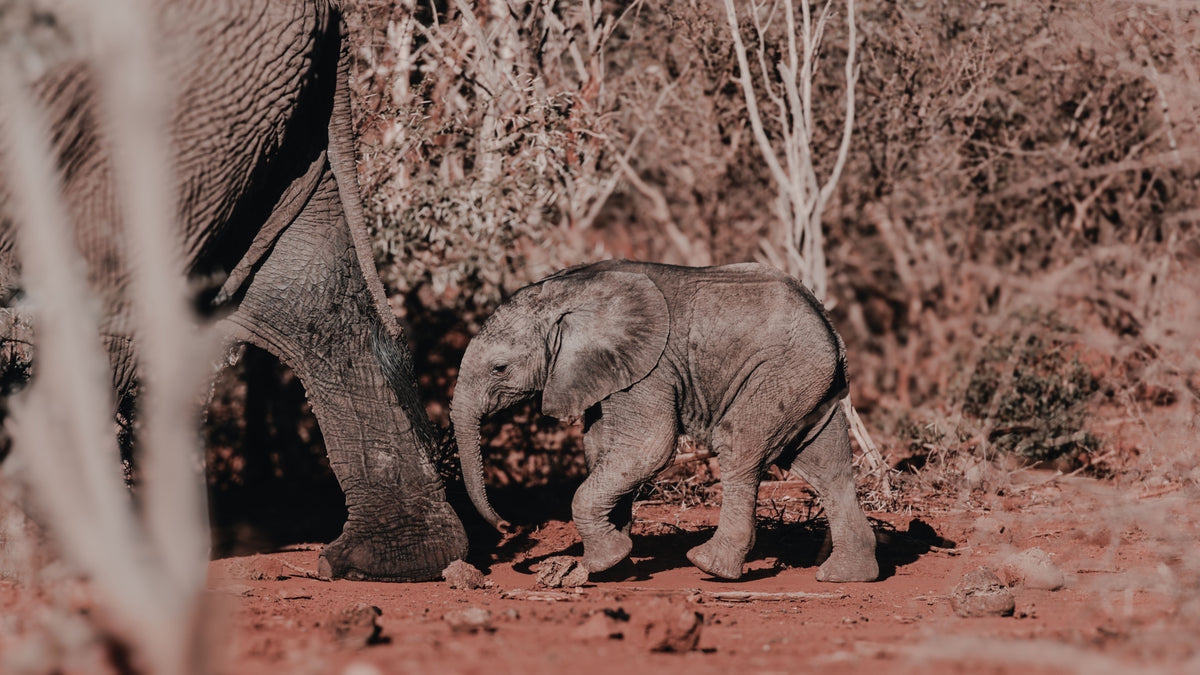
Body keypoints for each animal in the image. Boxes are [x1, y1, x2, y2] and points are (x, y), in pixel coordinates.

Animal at [451, 260, 879, 582]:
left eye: (499, 368)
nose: (507, 527)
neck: (568, 295)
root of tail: (828, 324)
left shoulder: (650, 368)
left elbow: (648, 448)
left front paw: (604, 561)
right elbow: (600, 449)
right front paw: (615, 564)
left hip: (780, 372)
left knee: (739, 447)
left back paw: (711, 567)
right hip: (812, 384)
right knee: (827, 466)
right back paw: (846, 576)